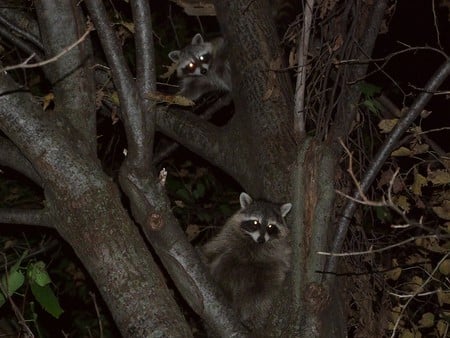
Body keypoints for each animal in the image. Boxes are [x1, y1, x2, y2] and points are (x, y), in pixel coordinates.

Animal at [203, 193, 292, 330]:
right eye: (255, 222)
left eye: (270, 226)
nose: (261, 239)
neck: (253, 242)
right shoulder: (228, 236)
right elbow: (214, 249)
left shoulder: (278, 253)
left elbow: (280, 265)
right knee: (225, 259)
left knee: (261, 293)